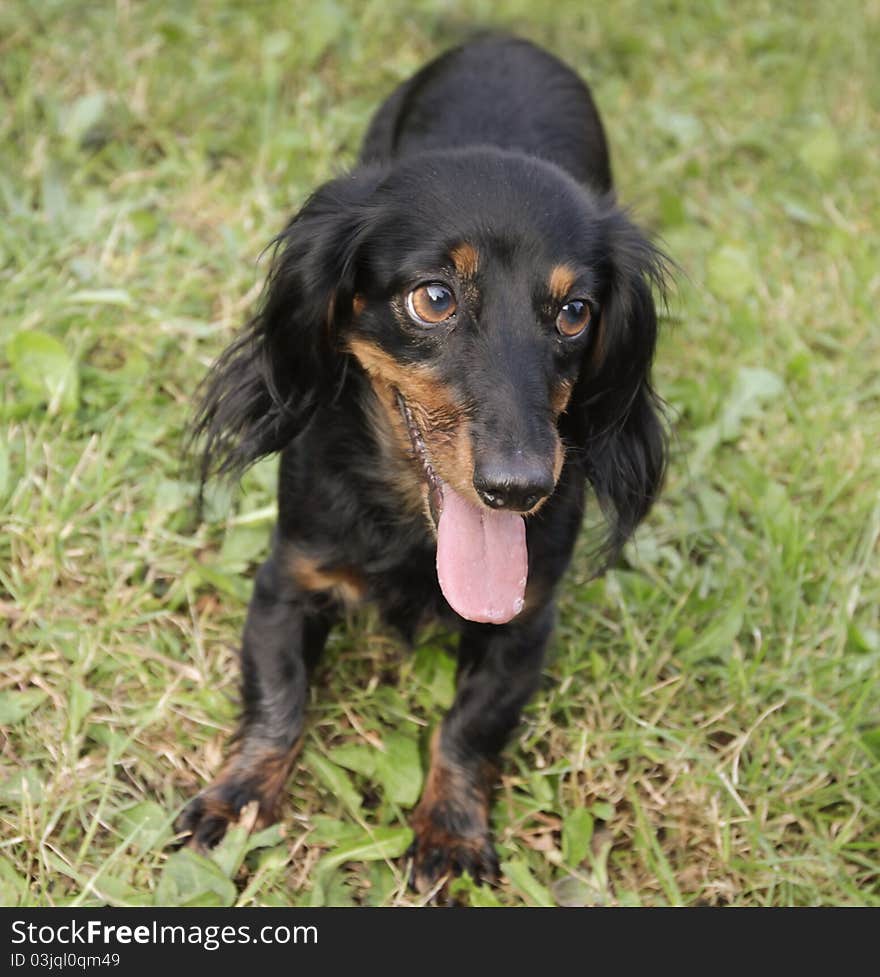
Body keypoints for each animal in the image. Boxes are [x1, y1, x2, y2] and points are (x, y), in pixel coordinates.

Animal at [182, 36, 672, 892]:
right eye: (434, 298)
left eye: (575, 312)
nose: (520, 487)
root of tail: (505, 37)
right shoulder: (287, 582)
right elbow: (280, 700)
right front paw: (238, 796)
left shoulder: (523, 626)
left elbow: (469, 728)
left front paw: (450, 828)